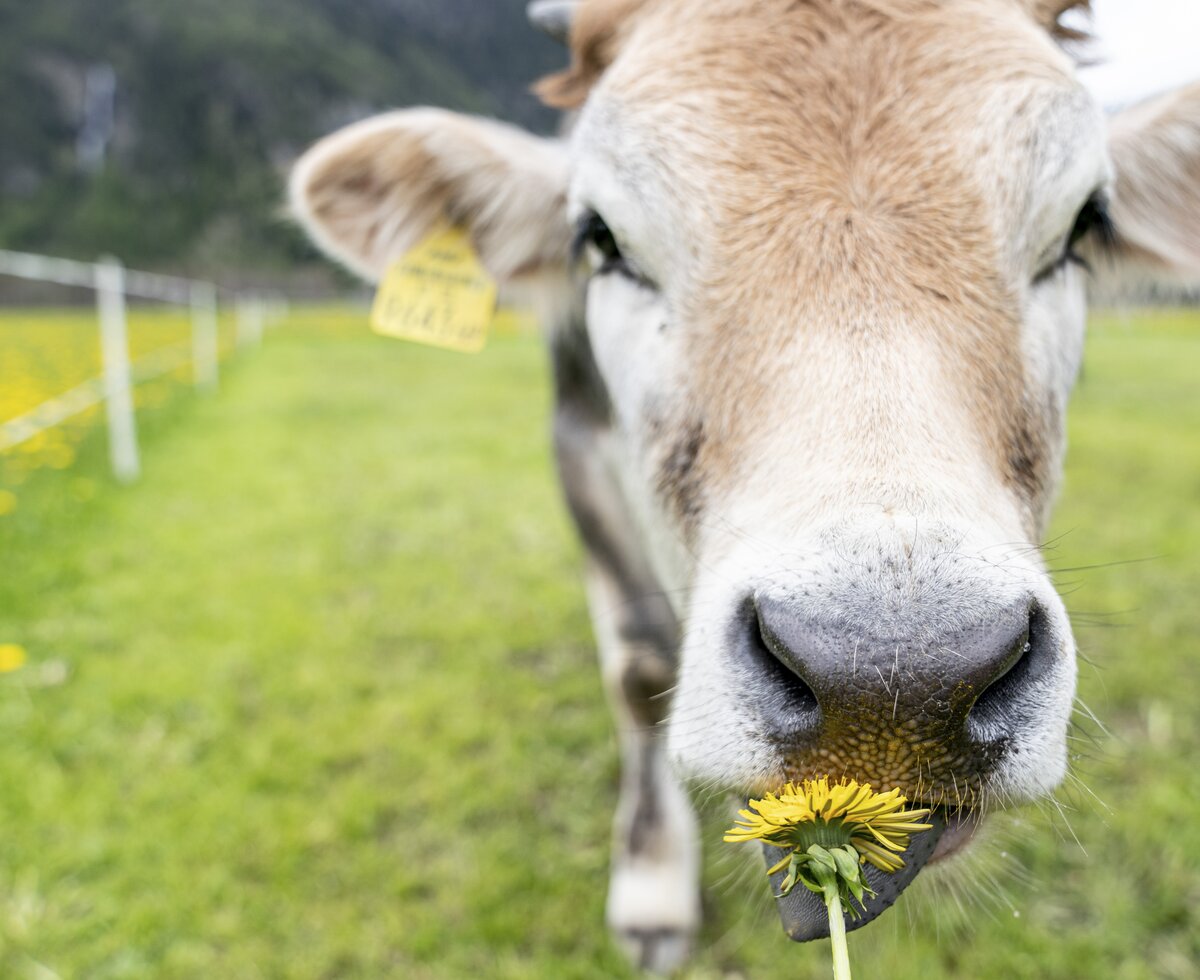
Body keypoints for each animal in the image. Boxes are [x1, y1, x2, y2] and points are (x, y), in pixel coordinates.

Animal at [290, 0, 1200, 969]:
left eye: (1083, 226)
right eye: (601, 237)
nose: (894, 687)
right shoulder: (575, 442)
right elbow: (641, 667)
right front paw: (652, 884)